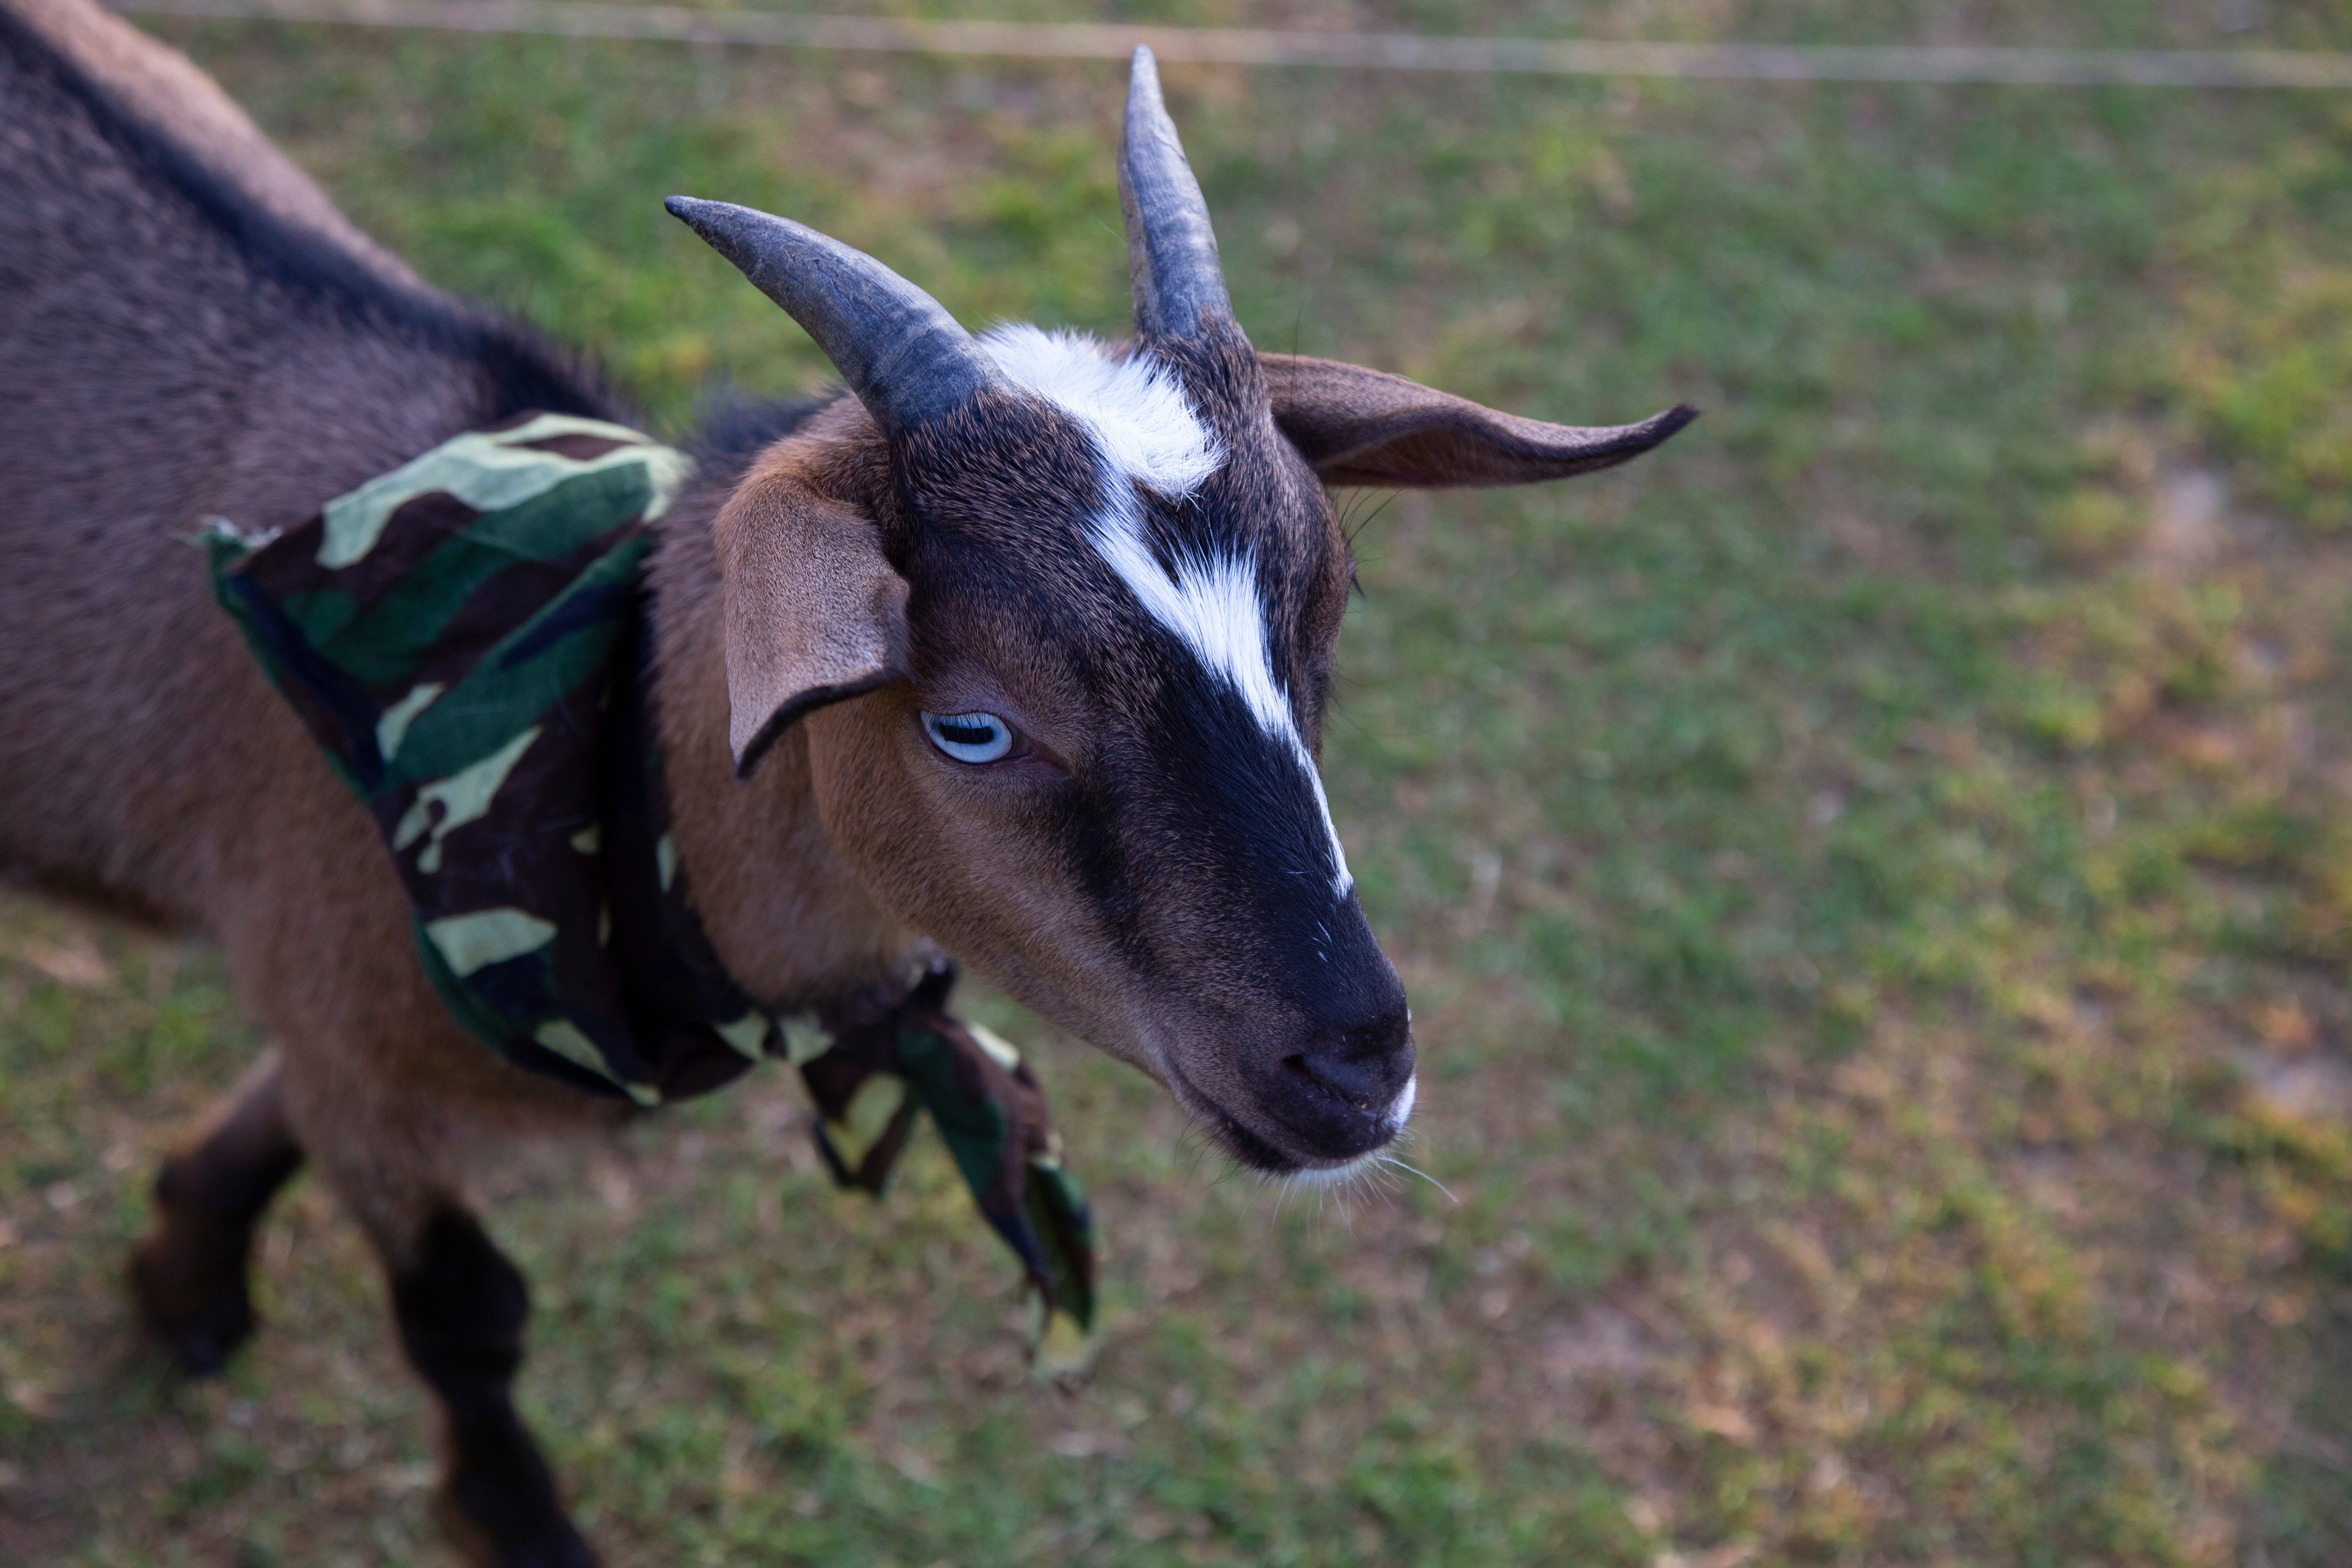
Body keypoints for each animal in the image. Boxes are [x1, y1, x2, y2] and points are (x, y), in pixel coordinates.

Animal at [0, 0, 1693, 1560]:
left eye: (1328, 621)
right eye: (971, 726)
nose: (1353, 1067)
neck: (594, 742)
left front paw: (179, 1273)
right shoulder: (346, 1014)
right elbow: (467, 1314)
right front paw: (511, 1515)